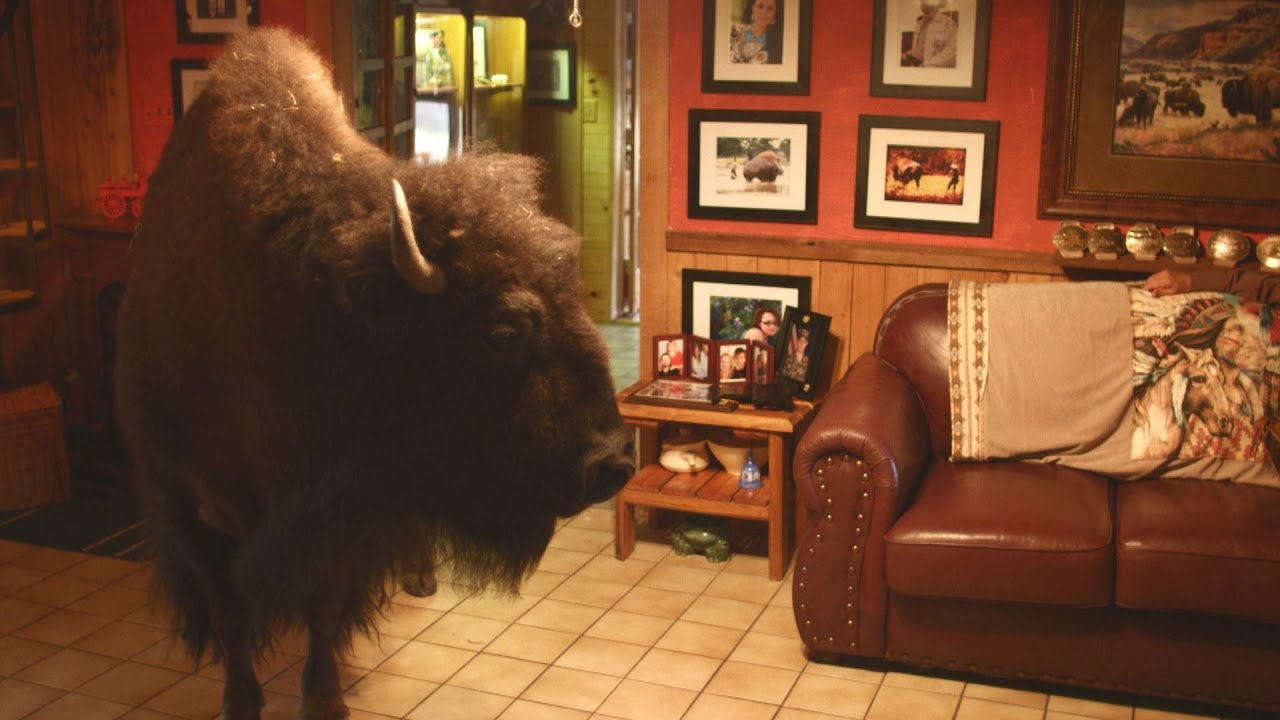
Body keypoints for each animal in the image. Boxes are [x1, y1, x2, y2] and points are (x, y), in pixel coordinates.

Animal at [114, 29, 634, 720]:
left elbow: (324, 607)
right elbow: (229, 613)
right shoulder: (185, 503)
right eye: (502, 332)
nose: (614, 463)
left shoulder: (343, 513)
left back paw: (420, 575)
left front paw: (323, 700)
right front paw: (241, 700)